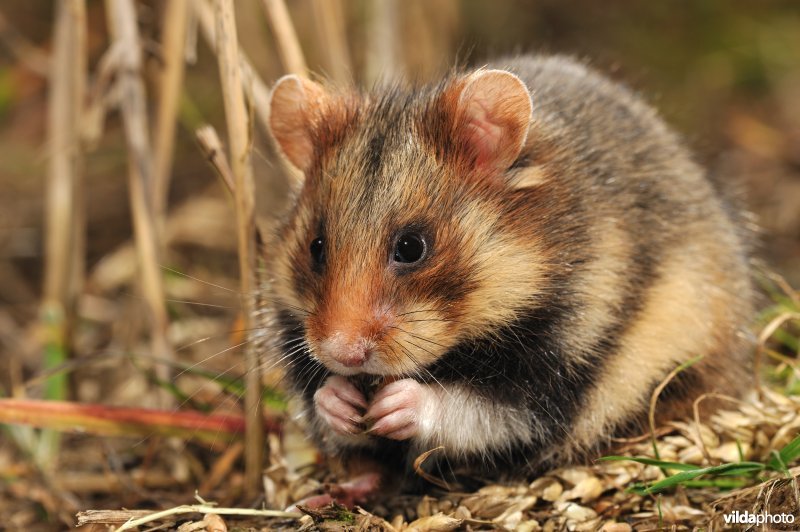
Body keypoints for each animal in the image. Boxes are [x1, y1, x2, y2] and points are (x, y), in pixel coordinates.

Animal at [261, 55, 755, 484]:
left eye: (412, 247)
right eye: (316, 247)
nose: (340, 353)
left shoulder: (555, 369)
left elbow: (480, 409)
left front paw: (395, 404)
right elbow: (317, 398)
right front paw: (340, 400)